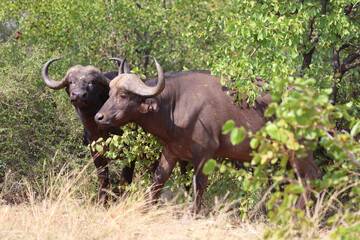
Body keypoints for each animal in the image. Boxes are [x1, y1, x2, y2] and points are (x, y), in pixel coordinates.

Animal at [94, 57, 322, 213]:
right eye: (109, 93)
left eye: (124, 95)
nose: (99, 117)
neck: (175, 105)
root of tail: (314, 101)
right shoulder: (171, 152)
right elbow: (157, 181)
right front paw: (147, 208)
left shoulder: (204, 154)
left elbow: (198, 186)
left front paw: (192, 213)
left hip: (300, 151)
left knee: (312, 178)